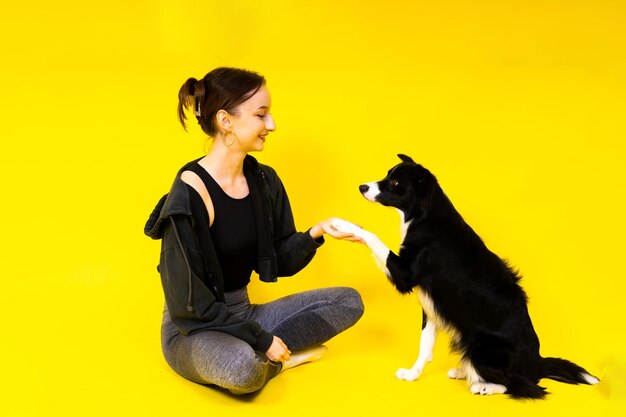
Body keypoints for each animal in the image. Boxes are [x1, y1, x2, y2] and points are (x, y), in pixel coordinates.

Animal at [334, 154, 596, 398]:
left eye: (395, 182)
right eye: (388, 174)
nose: (362, 187)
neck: (424, 217)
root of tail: (537, 363)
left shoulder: (407, 275)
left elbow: (373, 237)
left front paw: (343, 225)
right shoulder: (431, 304)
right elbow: (424, 345)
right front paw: (412, 375)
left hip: (481, 345)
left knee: (523, 385)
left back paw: (483, 386)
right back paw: (465, 371)